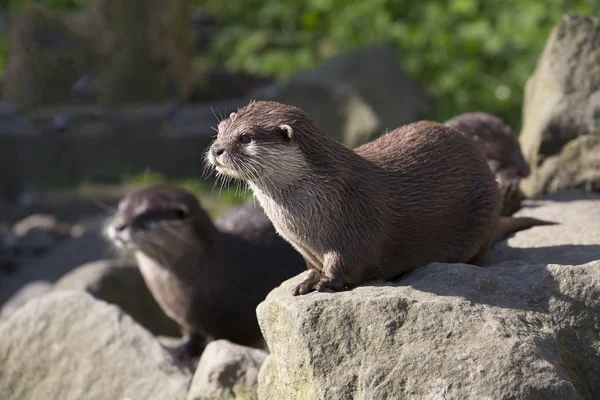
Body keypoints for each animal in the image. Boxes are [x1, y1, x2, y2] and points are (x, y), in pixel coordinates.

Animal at [103, 184, 304, 360]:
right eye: (121, 208)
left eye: (145, 214)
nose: (118, 226)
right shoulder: (185, 319)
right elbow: (190, 334)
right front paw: (181, 350)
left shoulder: (226, 321)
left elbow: (219, 340)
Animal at [205, 101, 552, 296]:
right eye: (220, 130)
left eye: (245, 137)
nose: (216, 149)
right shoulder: (302, 247)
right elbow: (312, 264)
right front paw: (308, 279)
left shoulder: (356, 220)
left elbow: (347, 262)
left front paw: (324, 283)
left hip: (484, 209)